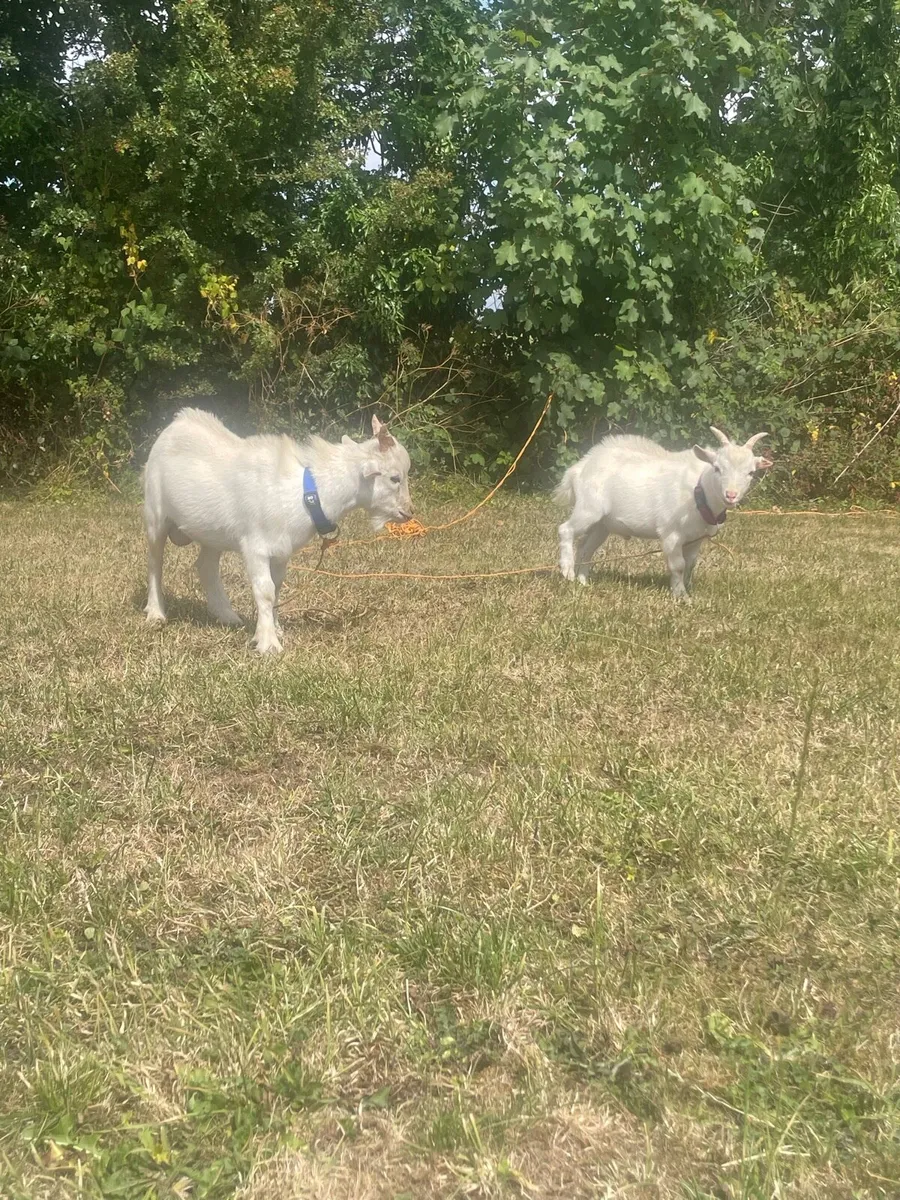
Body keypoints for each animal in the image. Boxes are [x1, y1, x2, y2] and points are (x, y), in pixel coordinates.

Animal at [142, 409, 413, 652]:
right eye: (394, 478)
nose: (409, 512)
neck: (307, 493)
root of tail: (177, 421)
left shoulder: (282, 551)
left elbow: (278, 587)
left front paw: (275, 629)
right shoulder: (256, 547)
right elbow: (265, 591)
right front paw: (269, 644)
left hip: (212, 534)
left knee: (206, 566)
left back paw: (227, 615)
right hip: (155, 513)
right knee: (155, 562)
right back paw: (156, 613)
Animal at [556, 426, 772, 597]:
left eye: (751, 472)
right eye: (717, 468)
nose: (731, 495)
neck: (698, 490)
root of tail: (579, 468)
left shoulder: (695, 539)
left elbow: (690, 564)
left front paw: (685, 589)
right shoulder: (671, 533)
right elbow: (678, 565)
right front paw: (681, 596)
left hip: (602, 524)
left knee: (586, 547)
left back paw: (583, 581)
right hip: (588, 508)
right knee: (566, 529)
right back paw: (567, 571)